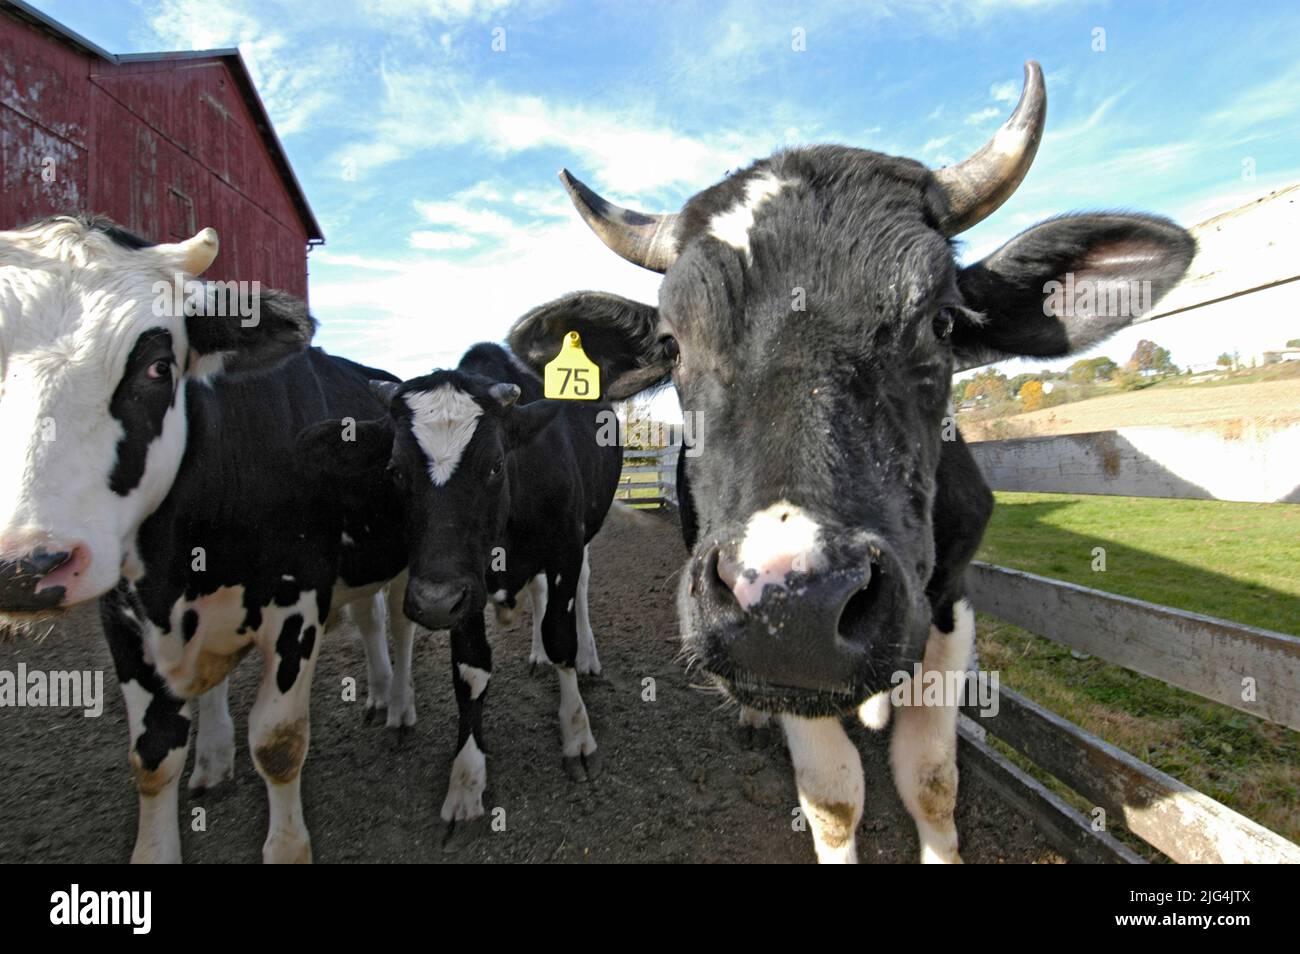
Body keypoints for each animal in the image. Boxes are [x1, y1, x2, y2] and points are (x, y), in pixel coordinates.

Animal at [0, 216, 413, 862]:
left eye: (157, 367)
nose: (28, 566)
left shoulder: (297, 603)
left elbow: (278, 742)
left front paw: (287, 848)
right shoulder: (125, 619)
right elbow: (153, 756)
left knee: (395, 622)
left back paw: (397, 705)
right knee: (359, 623)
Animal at [311, 342, 622, 824]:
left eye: (495, 465)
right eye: (395, 471)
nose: (432, 603)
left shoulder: (565, 551)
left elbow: (561, 638)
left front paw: (577, 734)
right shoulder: (461, 589)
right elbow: (471, 672)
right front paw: (466, 776)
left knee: (579, 594)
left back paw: (587, 657)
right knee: (536, 593)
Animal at [506, 62, 1196, 862]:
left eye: (942, 319)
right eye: (674, 345)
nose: (794, 604)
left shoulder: (950, 604)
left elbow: (932, 782)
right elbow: (835, 798)